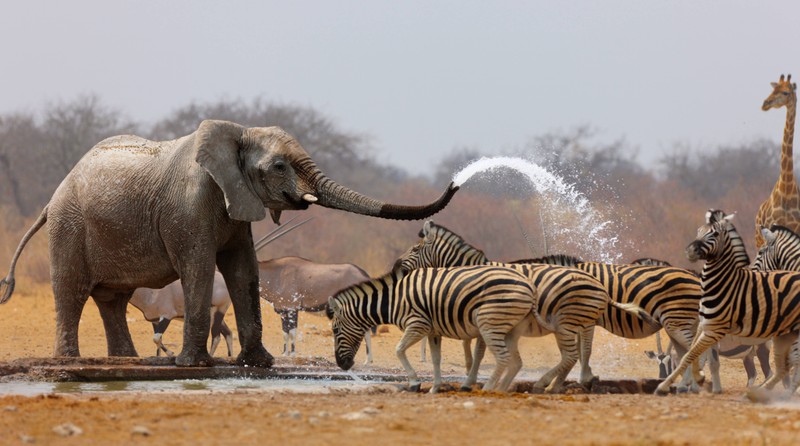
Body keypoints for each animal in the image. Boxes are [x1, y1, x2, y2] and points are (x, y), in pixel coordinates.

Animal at [0, 117, 460, 366]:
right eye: (280, 166)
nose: (456, 181)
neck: (238, 132)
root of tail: (52, 198)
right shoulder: (189, 206)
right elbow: (200, 267)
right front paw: (193, 365)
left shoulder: (237, 202)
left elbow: (243, 269)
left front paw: (259, 363)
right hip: (69, 225)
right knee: (72, 290)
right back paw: (70, 361)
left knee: (112, 299)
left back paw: (125, 361)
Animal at [324, 264, 536, 394]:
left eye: (335, 331)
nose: (342, 365)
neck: (393, 300)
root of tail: (529, 284)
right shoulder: (433, 331)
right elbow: (435, 359)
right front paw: (435, 388)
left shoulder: (418, 324)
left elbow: (399, 350)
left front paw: (415, 383)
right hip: (507, 327)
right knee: (513, 361)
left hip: (489, 323)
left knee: (503, 357)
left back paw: (488, 389)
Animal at [392, 221, 648, 392]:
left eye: (415, 249)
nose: (395, 267)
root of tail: (598, 284)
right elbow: (470, 347)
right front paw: (469, 376)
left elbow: (479, 350)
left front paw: (469, 381)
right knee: (580, 350)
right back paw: (573, 381)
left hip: (571, 320)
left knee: (579, 350)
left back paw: (560, 382)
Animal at [656, 211, 800, 396]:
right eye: (698, 231)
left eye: (761, 251)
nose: (691, 251)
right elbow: (695, 355)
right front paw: (697, 383)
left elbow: (697, 357)